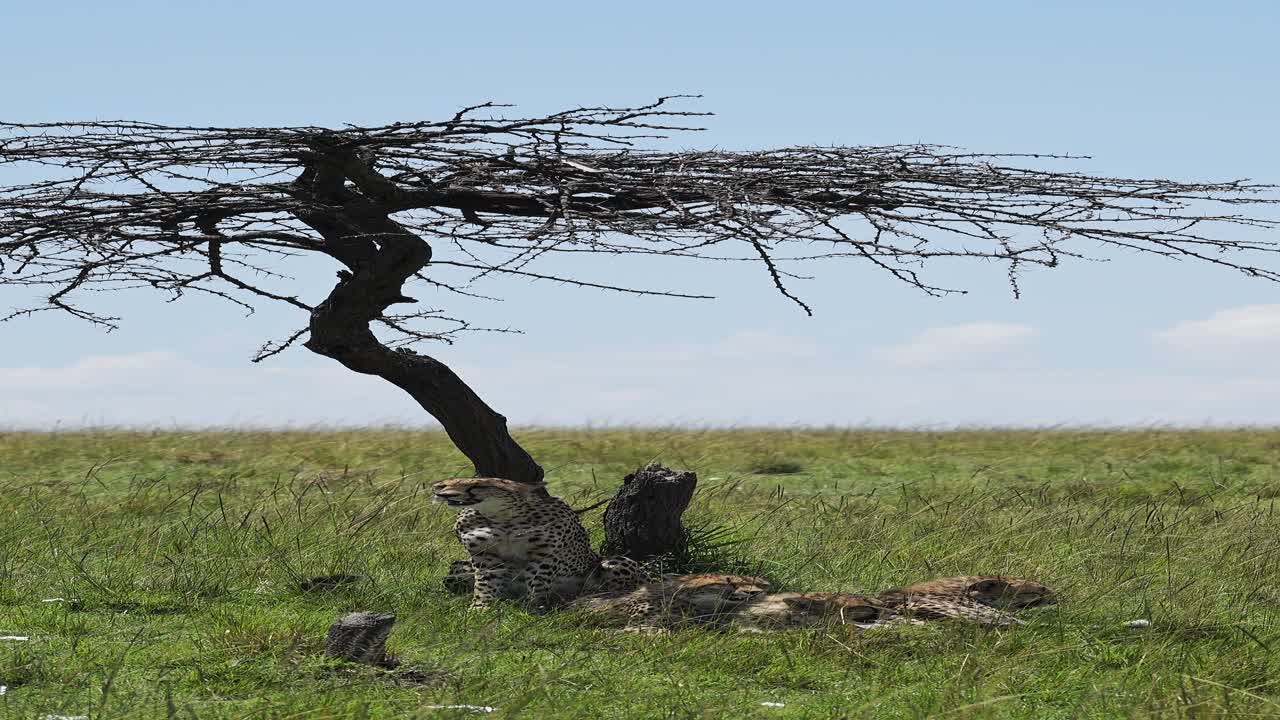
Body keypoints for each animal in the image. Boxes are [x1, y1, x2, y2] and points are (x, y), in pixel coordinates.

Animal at [432, 477, 645, 609]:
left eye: (476, 485)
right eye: (445, 484)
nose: (439, 490)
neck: (502, 518)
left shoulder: (546, 554)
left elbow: (537, 581)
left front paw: (534, 607)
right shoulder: (485, 555)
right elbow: (485, 584)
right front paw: (480, 608)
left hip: (616, 563)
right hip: (456, 571)